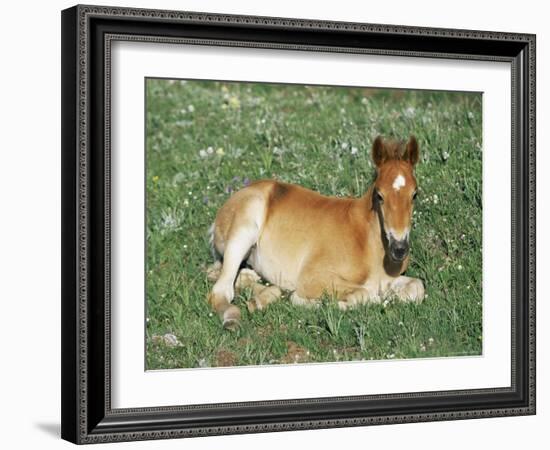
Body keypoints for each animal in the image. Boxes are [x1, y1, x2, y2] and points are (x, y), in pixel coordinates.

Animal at [207, 135, 426, 328]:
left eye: (415, 194)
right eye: (379, 195)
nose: (399, 249)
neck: (367, 241)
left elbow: (417, 287)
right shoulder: (312, 277)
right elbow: (365, 293)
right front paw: (313, 302)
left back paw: (261, 299)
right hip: (244, 229)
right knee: (220, 291)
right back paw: (233, 318)